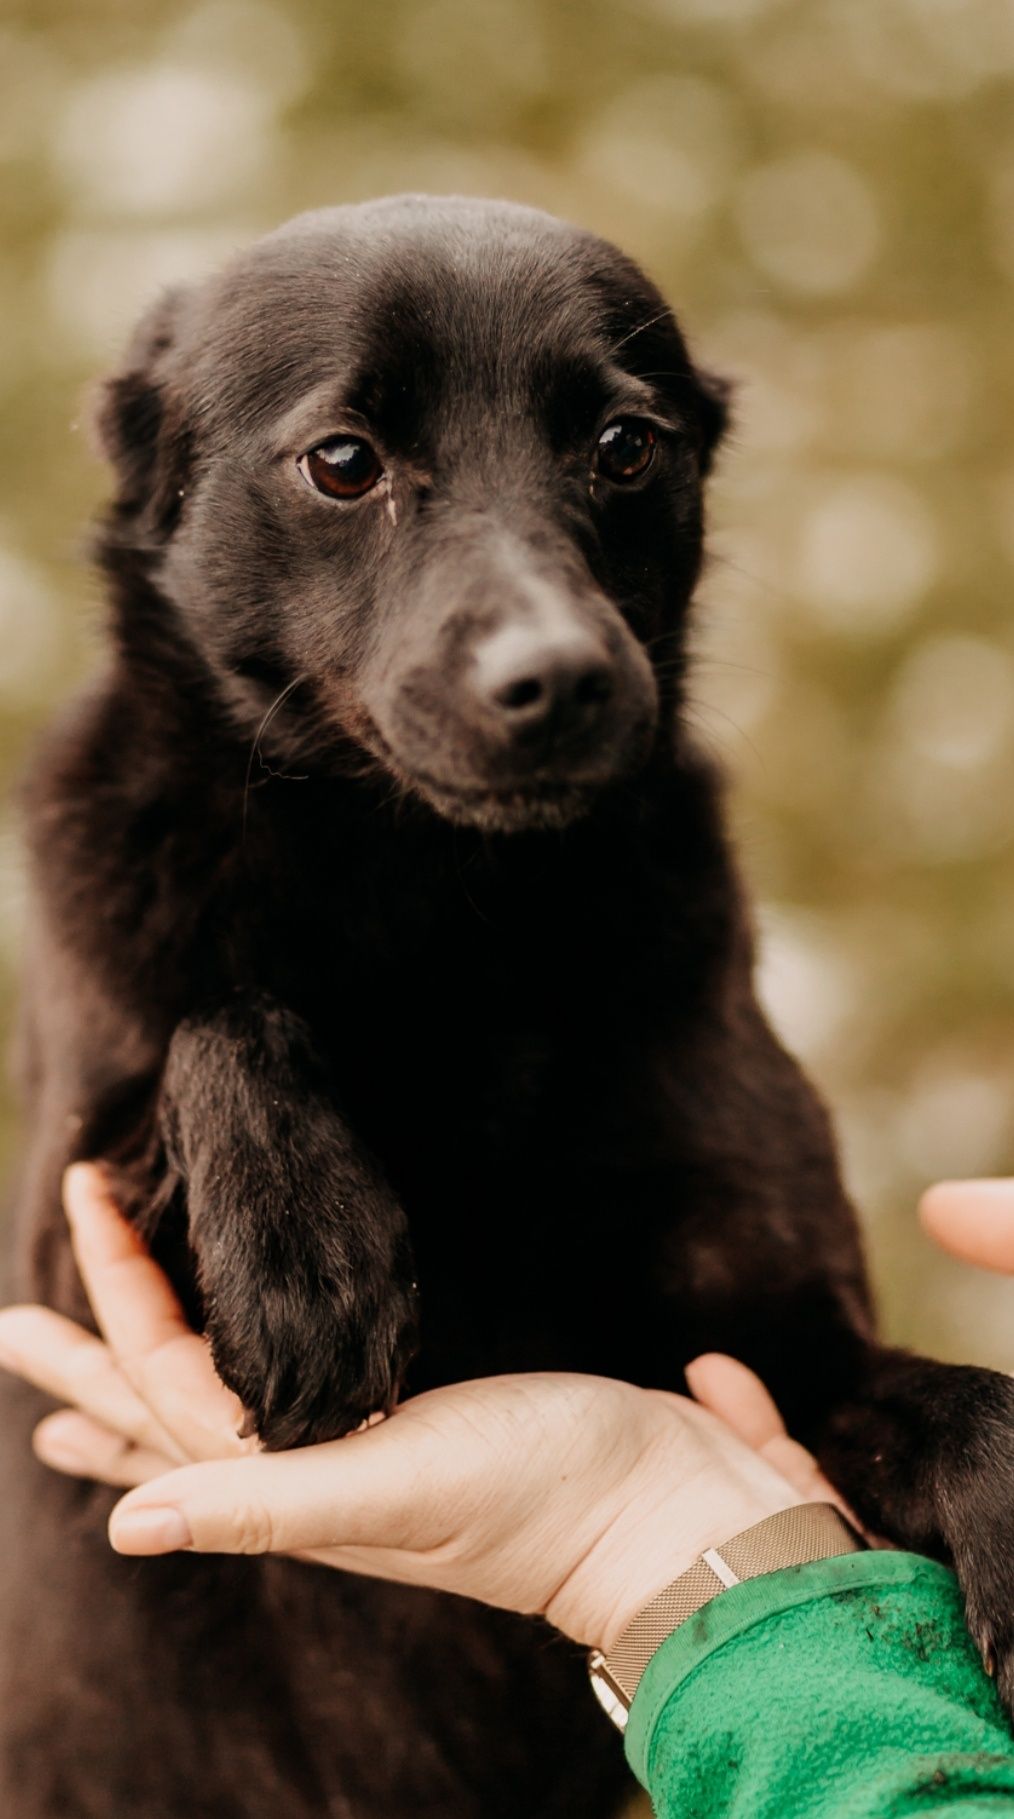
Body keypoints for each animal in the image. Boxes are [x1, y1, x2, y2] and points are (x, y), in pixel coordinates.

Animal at [1, 191, 1012, 1811]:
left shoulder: (782, 1335)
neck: (440, 900)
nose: (562, 678)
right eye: (344, 461)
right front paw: (305, 1256)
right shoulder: (66, 1273)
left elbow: (975, 1406)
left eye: (623, 445)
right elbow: (220, 1015)